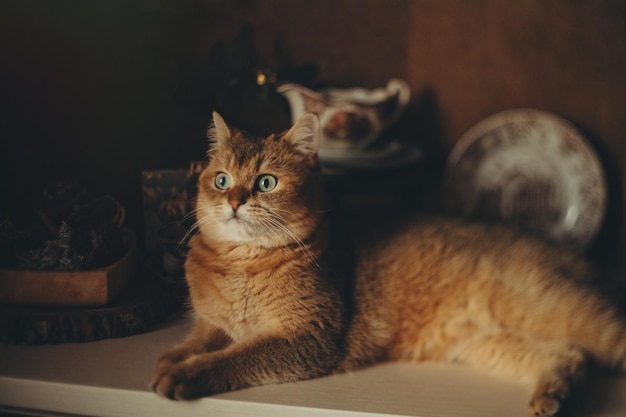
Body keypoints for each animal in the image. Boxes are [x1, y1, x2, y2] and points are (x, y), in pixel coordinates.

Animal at [152, 111, 624, 416]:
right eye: (221, 180)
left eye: (266, 182)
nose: (234, 201)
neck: (240, 266)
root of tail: (562, 251)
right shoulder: (214, 323)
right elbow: (202, 340)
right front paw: (172, 358)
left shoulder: (309, 338)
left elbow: (235, 356)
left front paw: (186, 374)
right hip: (489, 342)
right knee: (568, 354)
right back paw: (555, 397)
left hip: (566, 314)